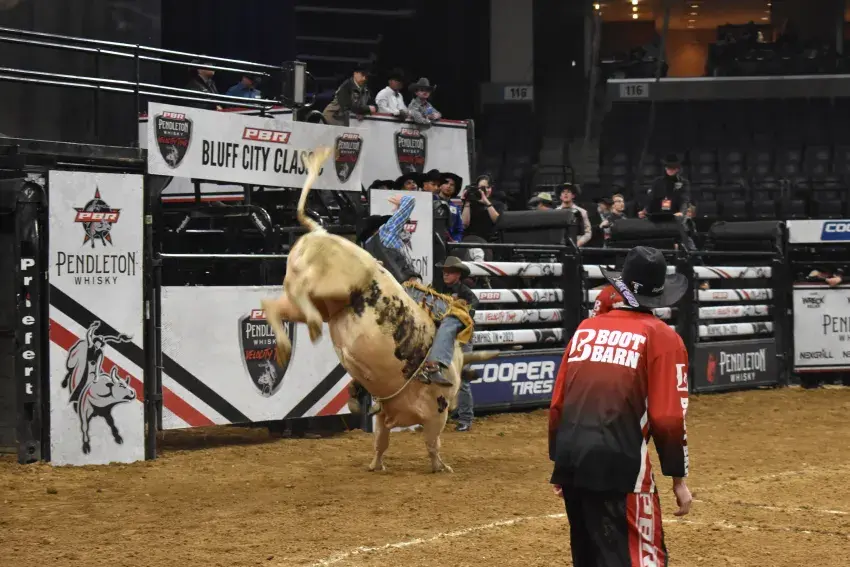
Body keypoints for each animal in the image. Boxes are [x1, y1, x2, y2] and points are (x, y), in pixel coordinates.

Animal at [262, 146, 498, 473]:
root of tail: (321, 232)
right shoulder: (434, 413)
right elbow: (432, 442)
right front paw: (440, 466)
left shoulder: (385, 413)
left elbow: (381, 441)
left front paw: (376, 465)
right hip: (333, 286)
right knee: (303, 300)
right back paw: (312, 326)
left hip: (312, 298)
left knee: (272, 306)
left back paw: (287, 345)